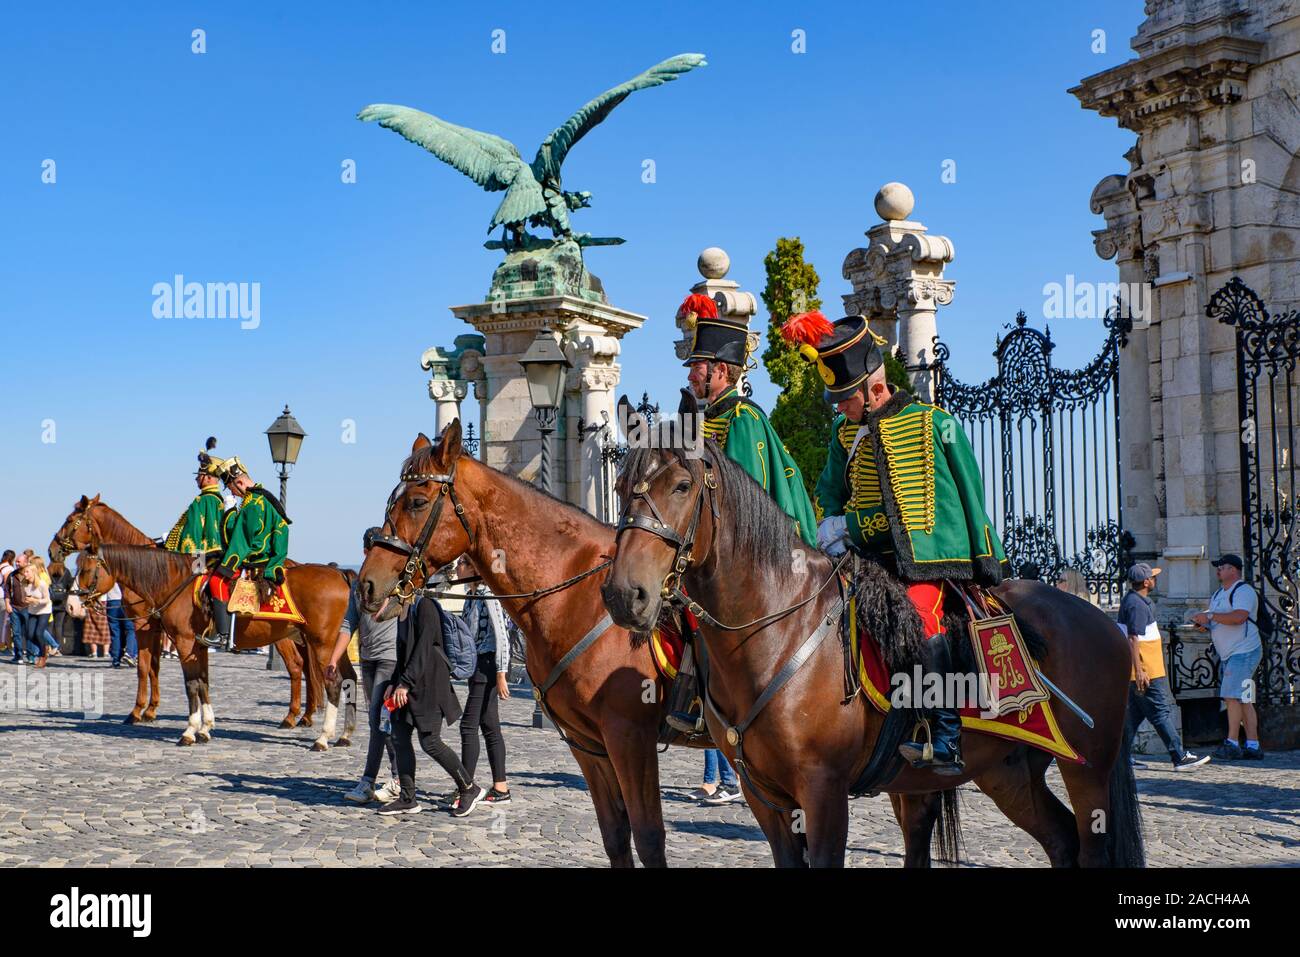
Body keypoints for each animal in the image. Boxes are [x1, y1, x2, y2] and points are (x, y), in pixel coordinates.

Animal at [53, 496, 322, 728]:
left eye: (70, 520)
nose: (52, 549)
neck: (162, 576)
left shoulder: (146, 626)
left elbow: (145, 667)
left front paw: (138, 711)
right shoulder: (165, 630)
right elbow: (159, 667)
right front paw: (153, 710)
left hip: (284, 637)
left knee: (297, 666)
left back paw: (291, 716)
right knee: (308, 668)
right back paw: (306, 715)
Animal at [78, 540, 358, 748]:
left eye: (86, 569)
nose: (75, 600)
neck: (175, 582)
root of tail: (341, 574)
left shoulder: (185, 642)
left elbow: (191, 685)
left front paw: (189, 731)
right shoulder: (199, 646)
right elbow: (203, 683)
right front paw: (205, 728)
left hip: (322, 644)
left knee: (333, 684)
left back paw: (323, 737)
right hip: (336, 646)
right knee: (350, 679)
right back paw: (345, 735)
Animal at [353, 423, 712, 868]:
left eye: (417, 502)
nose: (366, 584)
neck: (575, 594)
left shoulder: (630, 738)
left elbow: (648, 838)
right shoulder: (588, 744)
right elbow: (615, 834)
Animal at [598, 442, 1138, 868]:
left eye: (682, 485)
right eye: (621, 486)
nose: (625, 595)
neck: (772, 630)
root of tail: (1101, 620)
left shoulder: (824, 792)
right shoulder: (765, 798)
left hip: (1087, 767)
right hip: (1005, 769)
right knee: (1060, 840)